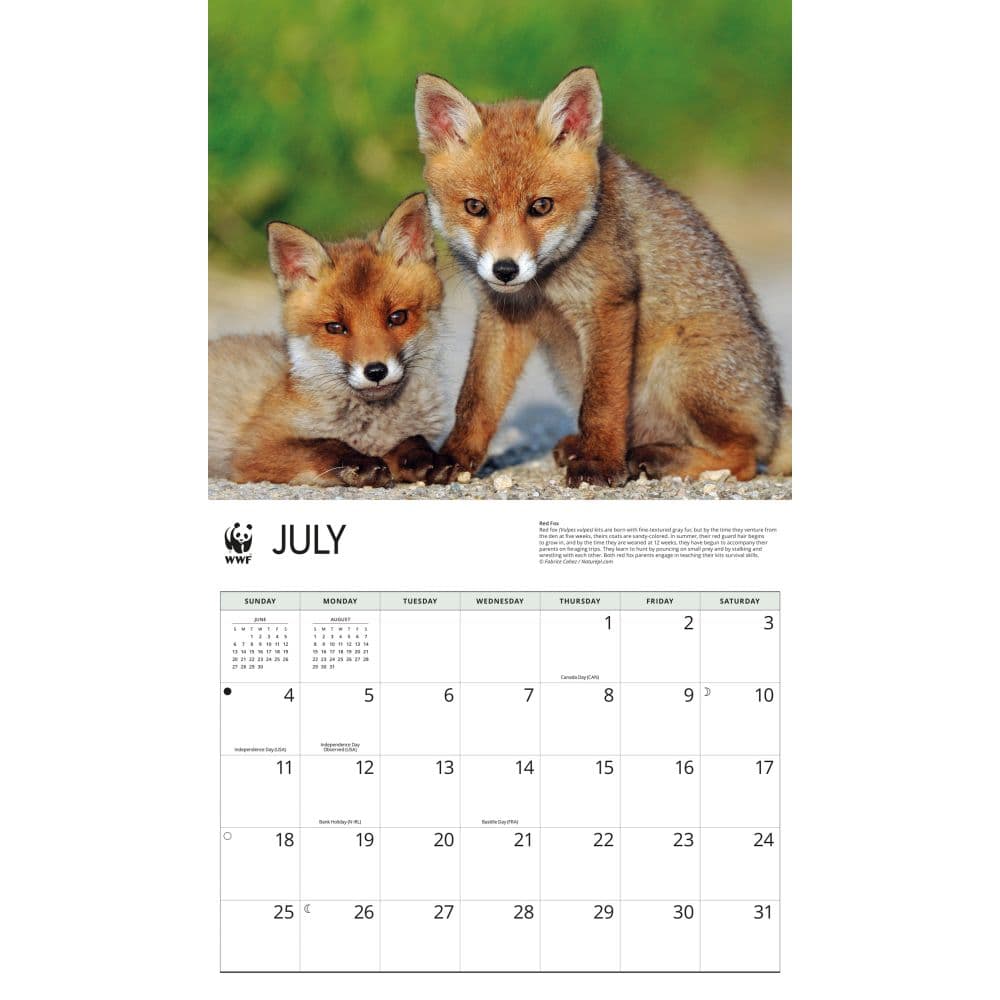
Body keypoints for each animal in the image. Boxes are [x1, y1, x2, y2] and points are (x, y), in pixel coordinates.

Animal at [208, 193, 445, 487]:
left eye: (397, 317)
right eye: (335, 327)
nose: (376, 371)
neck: (373, 428)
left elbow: (413, 438)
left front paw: (422, 457)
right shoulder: (252, 450)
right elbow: (325, 444)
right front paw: (360, 463)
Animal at [414, 67, 791, 487]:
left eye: (541, 206)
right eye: (475, 207)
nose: (505, 269)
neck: (544, 286)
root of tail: (775, 407)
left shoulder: (608, 303)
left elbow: (602, 402)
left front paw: (597, 462)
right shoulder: (501, 316)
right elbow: (476, 400)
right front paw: (455, 457)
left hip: (680, 367)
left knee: (743, 458)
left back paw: (654, 457)